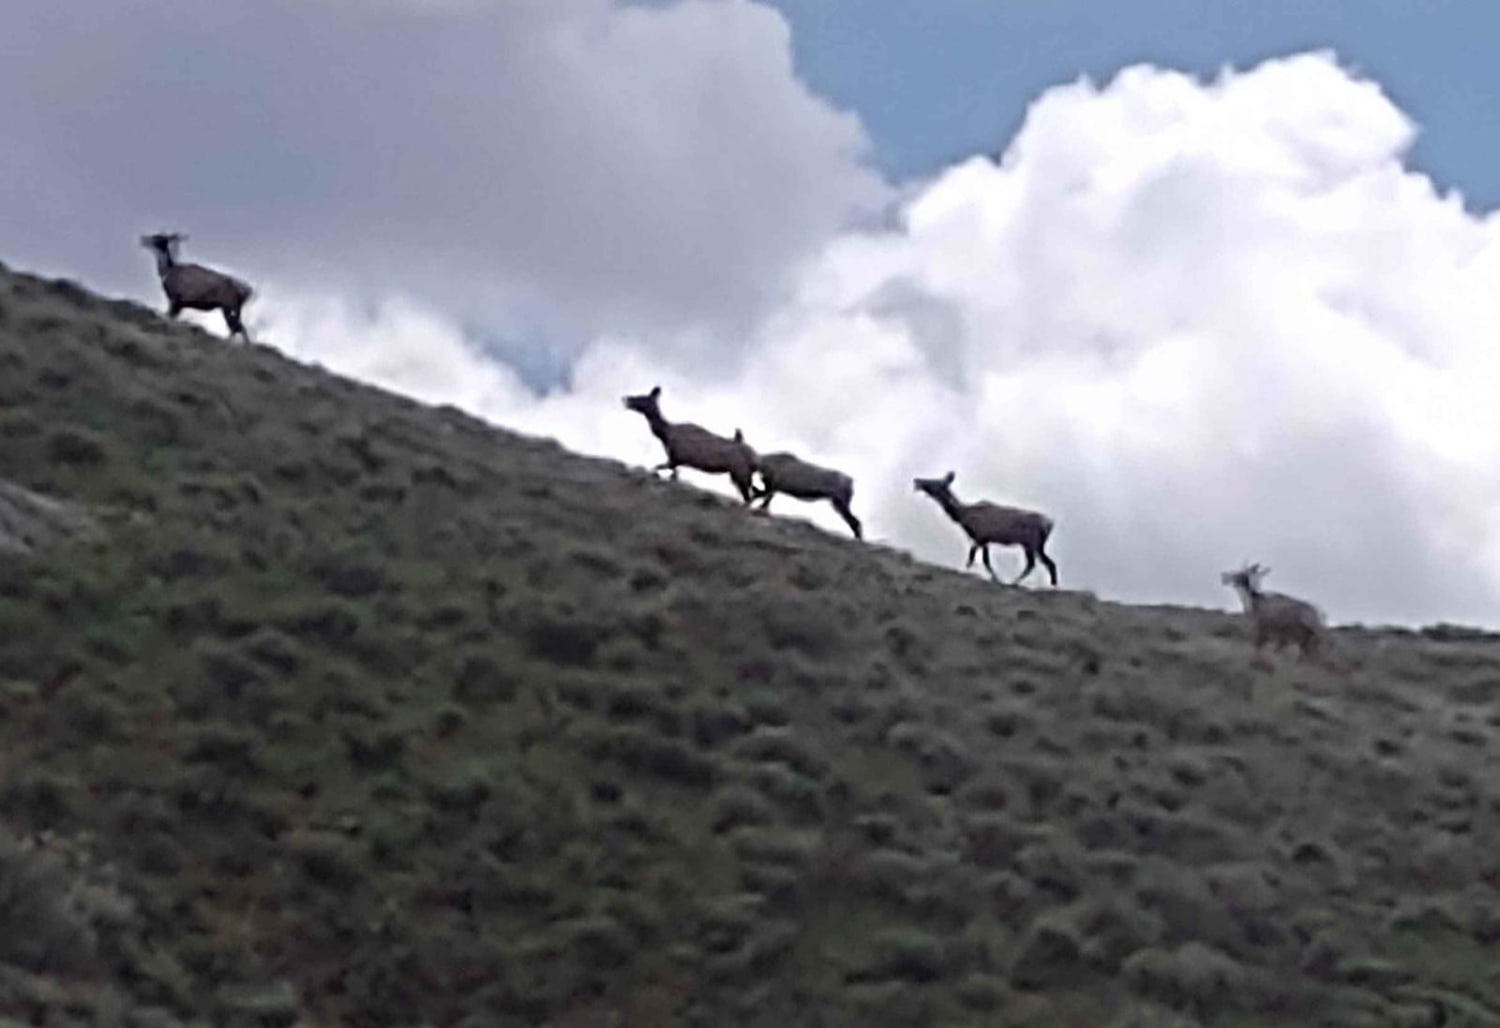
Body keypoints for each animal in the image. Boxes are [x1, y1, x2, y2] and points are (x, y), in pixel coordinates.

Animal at [624, 384, 762, 501]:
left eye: (642, 397)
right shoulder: (675, 461)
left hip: (741, 473)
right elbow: (670, 475)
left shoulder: (675, 459)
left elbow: (658, 470)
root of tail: (755, 458)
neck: (664, 434)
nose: (626, 399)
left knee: (750, 497)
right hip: (739, 474)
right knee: (755, 494)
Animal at [906, 471, 1062, 585]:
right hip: (1037, 545)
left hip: (1030, 543)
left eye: (935, 482)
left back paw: (1014, 582)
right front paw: (994, 577)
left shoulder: (980, 536)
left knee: (1034, 564)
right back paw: (1052, 584)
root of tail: (1049, 524)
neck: (963, 517)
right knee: (1049, 563)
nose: (917, 480)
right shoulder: (985, 540)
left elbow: (973, 557)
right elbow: (984, 560)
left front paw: (991, 577)